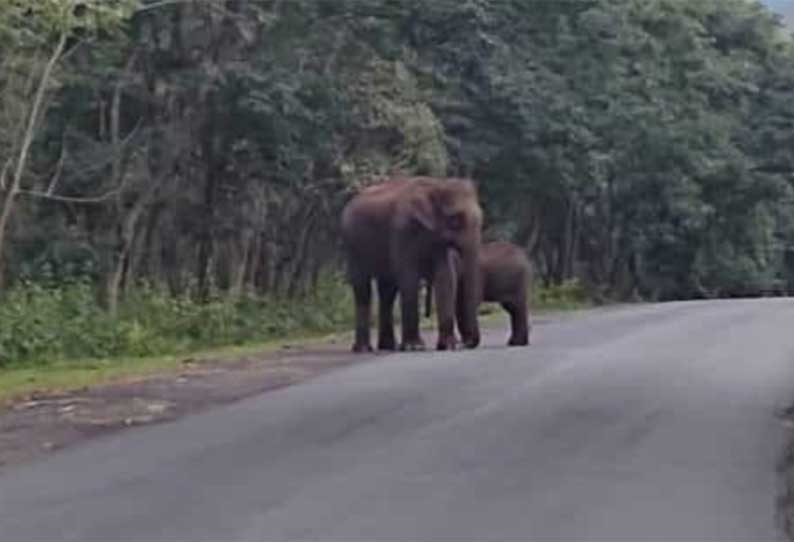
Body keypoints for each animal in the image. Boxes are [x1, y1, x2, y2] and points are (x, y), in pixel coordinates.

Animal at [340, 178, 482, 354]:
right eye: (454, 219)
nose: (465, 343)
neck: (435, 185)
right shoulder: (402, 231)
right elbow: (408, 278)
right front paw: (414, 347)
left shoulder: (438, 244)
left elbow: (445, 278)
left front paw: (447, 346)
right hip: (353, 246)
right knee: (362, 288)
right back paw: (364, 349)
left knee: (387, 291)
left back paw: (388, 346)